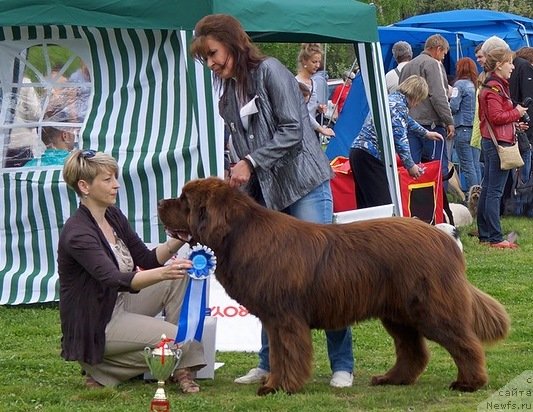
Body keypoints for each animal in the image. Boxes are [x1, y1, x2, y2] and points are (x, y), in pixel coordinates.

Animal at [157, 177, 508, 396]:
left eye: (185, 201)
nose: (160, 201)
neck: (240, 235)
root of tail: (444, 237)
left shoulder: (285, 317)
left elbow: (289, 353)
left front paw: (281, 387)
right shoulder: (273, 319)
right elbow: (280, 354)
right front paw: (274, 384)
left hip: (430, 308)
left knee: (464, 342)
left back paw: (469, 383)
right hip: (398, 314)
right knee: (413, 350)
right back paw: (392, 379)